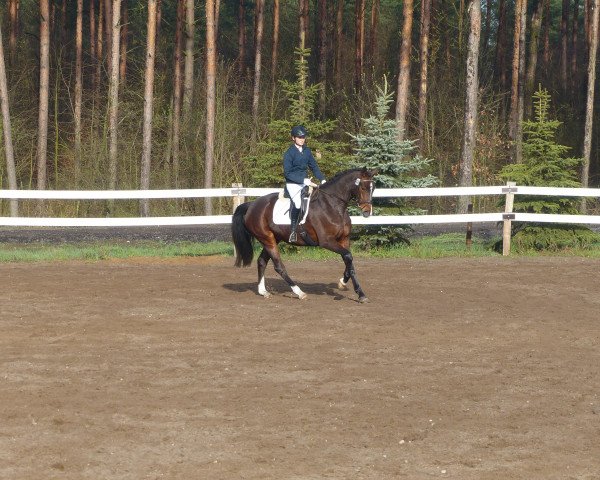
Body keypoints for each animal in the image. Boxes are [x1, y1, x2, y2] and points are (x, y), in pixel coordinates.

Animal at [232, 168, 378, 304]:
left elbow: (349, 261)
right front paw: (355, 290)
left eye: (373, 188)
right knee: (279, 266)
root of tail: (251, 205)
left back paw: (263, 291)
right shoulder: (327, 241)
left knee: (262, 261)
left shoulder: (344, 240)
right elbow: (348, 257)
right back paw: (299, 293)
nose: (367, 212)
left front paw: (346, 285)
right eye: (363, 187)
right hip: (267, 240)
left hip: (273, 239)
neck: (333, 205)